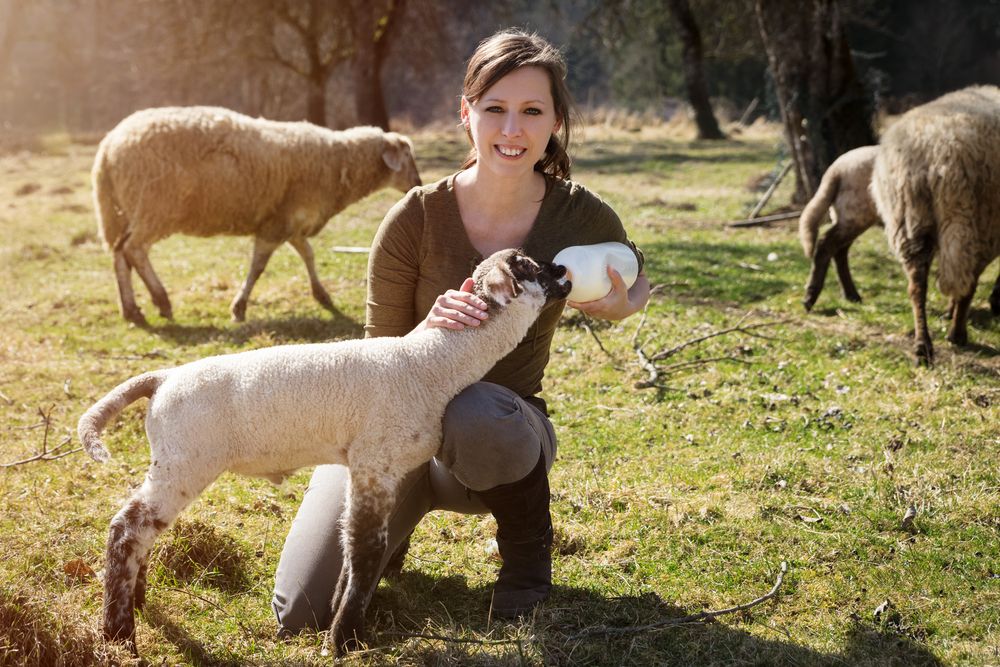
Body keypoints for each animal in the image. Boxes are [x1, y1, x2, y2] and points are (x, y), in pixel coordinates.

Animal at [76, 248, 572, 656]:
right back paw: (119, 633)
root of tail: (161, 379)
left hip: (174, 461)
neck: (430, 364)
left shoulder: (375, 467)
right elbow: (368, 547)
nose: (564, 271)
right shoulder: (375, 460)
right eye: (528, 266)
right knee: (126, 529)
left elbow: (357, 544)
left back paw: (138, 602)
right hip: (185, 460)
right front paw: (345, 640)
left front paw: (340, 617)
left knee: (142, 531)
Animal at [92, 107, 420, 326]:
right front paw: (239, 307)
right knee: (134, 250)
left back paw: (132, 311)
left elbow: (308, 254)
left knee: (120, 253)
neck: (338, 163)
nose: (417, 183)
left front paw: (322, 295)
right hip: (155, 206)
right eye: (407, 157)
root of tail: (109, 146)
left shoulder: (290, 221)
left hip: (125, 210)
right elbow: (259, 266)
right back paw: (162, 301)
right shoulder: (280, 224)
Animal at [872, 85, 1000, 366]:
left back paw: (923, 346)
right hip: (977, 220)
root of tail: (933, 149)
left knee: (917, 286)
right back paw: (957, 334)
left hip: (908, 222)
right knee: (968, 281)